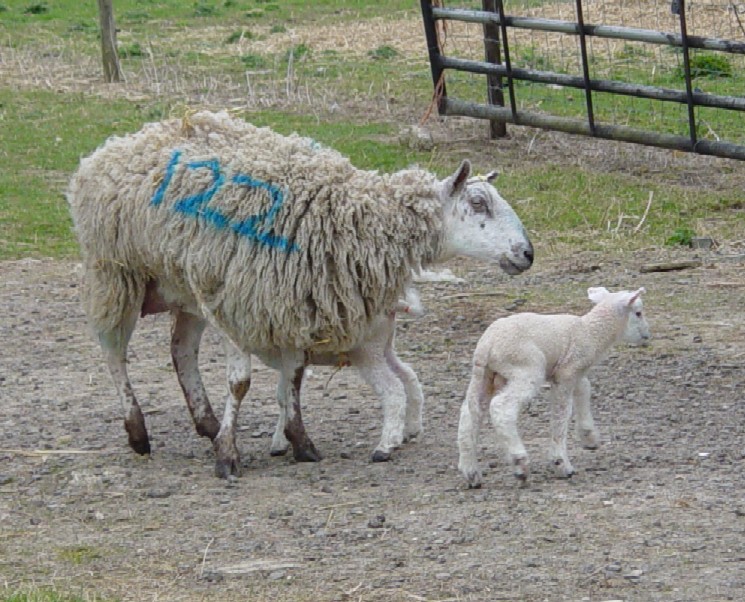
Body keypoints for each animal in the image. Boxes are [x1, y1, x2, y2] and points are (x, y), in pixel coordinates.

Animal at [66, 110, 534, 477]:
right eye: (478, 203)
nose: (527, 253)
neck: (352, 218)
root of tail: (123, 141)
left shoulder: (289, 304)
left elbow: (291, 377)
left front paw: (299, 441)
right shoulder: (238, 305)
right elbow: (241, 382)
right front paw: (228, 455)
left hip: (186, 287)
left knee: (181, 351)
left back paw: (206, 422)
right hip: (117, 274)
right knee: (113, 353)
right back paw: (138, 431)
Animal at [457, 286, 649, 488]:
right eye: (638, 313)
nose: (647, 336)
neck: (591, 332)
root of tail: (486, 347)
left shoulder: (575, 371)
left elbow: (584, 389)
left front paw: (589, 436)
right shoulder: (567, 372)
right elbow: (561, 413)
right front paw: (560, 463)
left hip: (485, 377)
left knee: (469, 413)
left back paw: (471, 471)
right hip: (526, 367)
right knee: (501, 406)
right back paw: (520, 462)